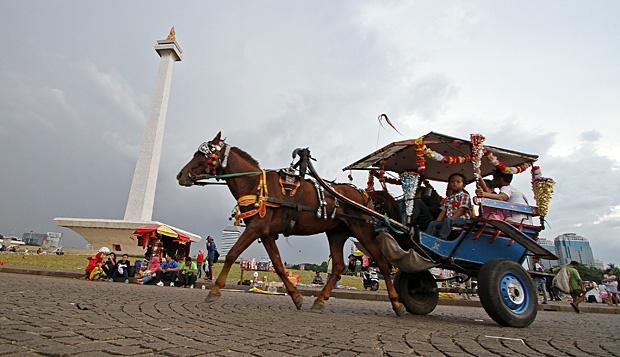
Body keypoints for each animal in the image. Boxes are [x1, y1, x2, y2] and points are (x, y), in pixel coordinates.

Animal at [177, 131, 404, 314]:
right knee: (339, 266)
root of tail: (364, 194)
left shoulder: (255, 228)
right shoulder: (266, 233)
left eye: (203, 154)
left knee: (382, 262)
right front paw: (296, 296)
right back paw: (320, 300)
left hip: (362, 230)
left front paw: (215, 291)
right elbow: (278, 265)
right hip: (336, 233)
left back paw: (397, 303)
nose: (181, 175)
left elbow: (233, 254)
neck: (255, 185)